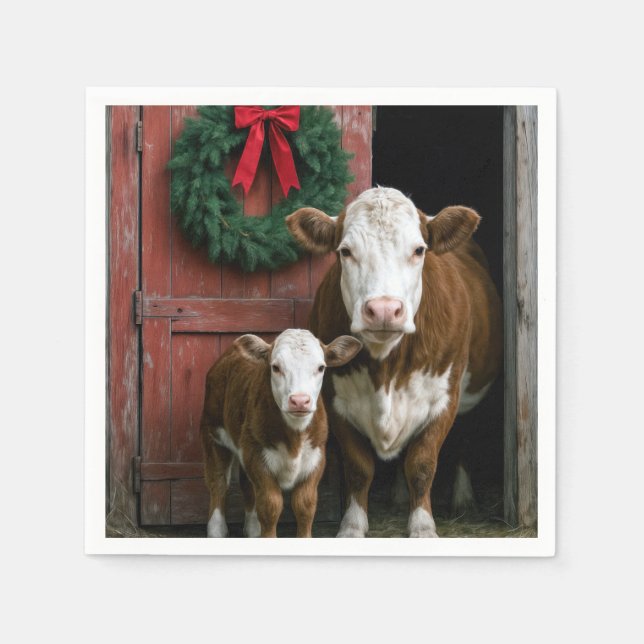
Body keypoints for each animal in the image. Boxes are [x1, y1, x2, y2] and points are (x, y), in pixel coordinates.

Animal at [200, 329, 362, 538]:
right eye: (275, 367)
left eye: (321, 367)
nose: (300, 401)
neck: (295, 437)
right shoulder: (257, 456)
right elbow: (270, 505)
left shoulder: (316, 457)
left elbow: (305, 505)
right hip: (213, 432)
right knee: (218, 481)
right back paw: (217, 530)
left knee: (247, 484)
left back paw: (253, 528)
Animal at [286, 186, 502, 537]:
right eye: (345, 251)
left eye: (419, 250)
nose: (384, 310)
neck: (386, 367)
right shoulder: (335, 398)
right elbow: (359, 468)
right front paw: (352, 525)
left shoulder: (445, 398)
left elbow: (422, 464)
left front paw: (423, 526)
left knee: (462, 440)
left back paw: (463, 498)